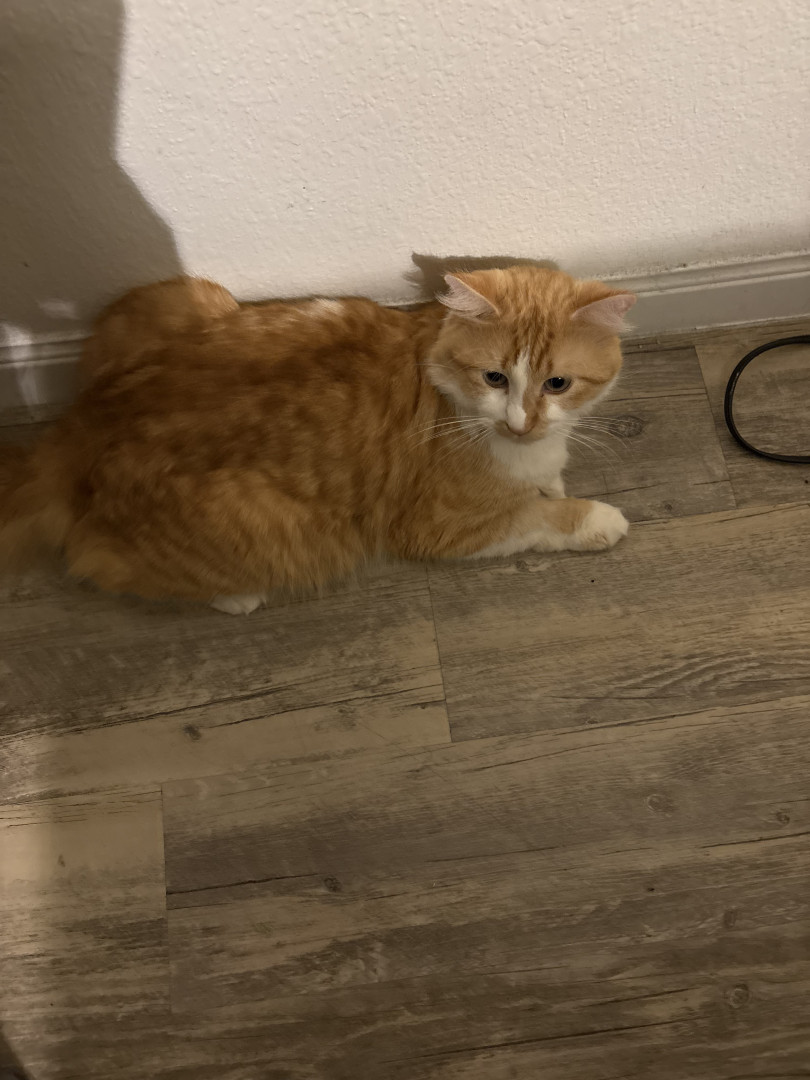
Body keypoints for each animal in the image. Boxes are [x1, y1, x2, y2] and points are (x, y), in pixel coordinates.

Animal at [0, 266, 635, 614]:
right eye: (495, 378)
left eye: (557, 383)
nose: (520, 423)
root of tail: (83, 424)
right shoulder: (440, 526)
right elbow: (536, 516)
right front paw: (594, 517)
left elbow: (546, 482)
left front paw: (550, 476)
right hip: (268, 526)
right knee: (98, 562)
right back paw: (236, 596)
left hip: (179, 298)